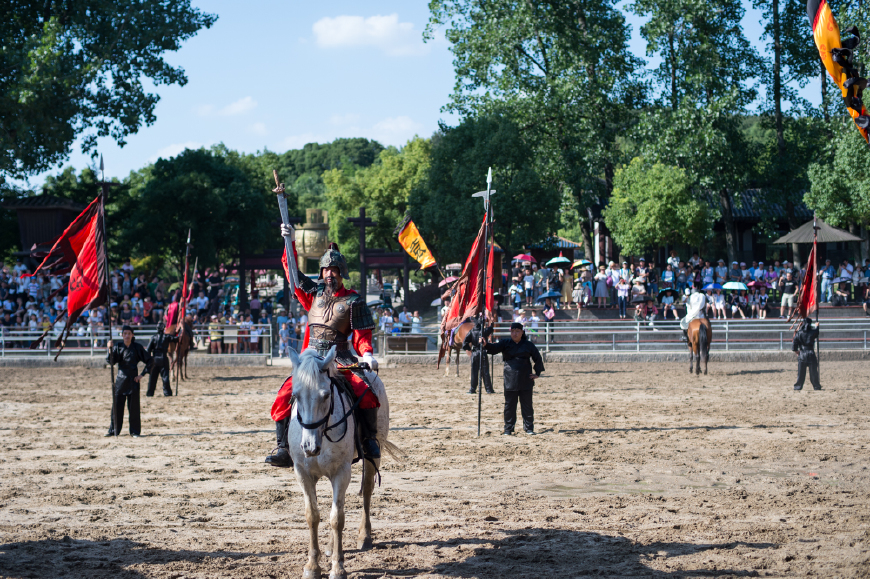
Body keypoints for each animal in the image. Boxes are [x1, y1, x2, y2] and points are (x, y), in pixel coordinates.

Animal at [288, 348, 400, 579]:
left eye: (326, 395)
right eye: (295, 395)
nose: (309, 447)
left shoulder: (341, 472)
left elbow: (337, 518)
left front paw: (338, 568)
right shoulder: (303, 473)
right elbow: (313, 515)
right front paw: (312, 566)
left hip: (372, 456)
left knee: (366, 492)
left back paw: (364, 536)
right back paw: (331, 547)